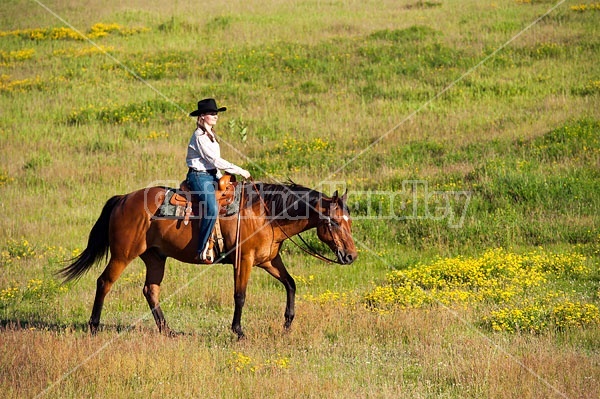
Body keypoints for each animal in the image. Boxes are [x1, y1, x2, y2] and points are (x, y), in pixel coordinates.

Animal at [57, 181, 356, 340]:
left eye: (349, 221)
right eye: (334, 222)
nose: (351, 256)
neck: (266, 213)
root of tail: (123, 199)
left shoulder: (269, 260)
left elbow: (291, 284)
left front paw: (287, 323)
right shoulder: (244, 260)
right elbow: (240, 295)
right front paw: (238, 331)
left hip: (155, 257)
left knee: (150, 290)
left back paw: (168, 330)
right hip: (123, 255)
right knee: (104, 282)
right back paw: (94, 327)